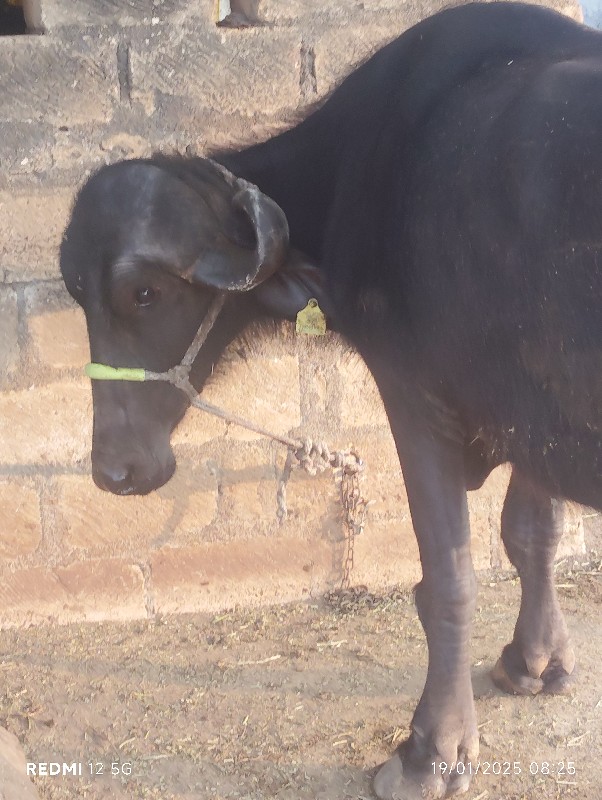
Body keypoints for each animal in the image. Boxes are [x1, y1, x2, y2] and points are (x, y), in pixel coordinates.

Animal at [57, 4, 600, 792]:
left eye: (145, 293)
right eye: (77, 294)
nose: (116, 470)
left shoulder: (417, 394)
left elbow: (450, 576)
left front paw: (433, 750)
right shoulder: (531, 415)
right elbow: (533, 533)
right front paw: (535, 661)